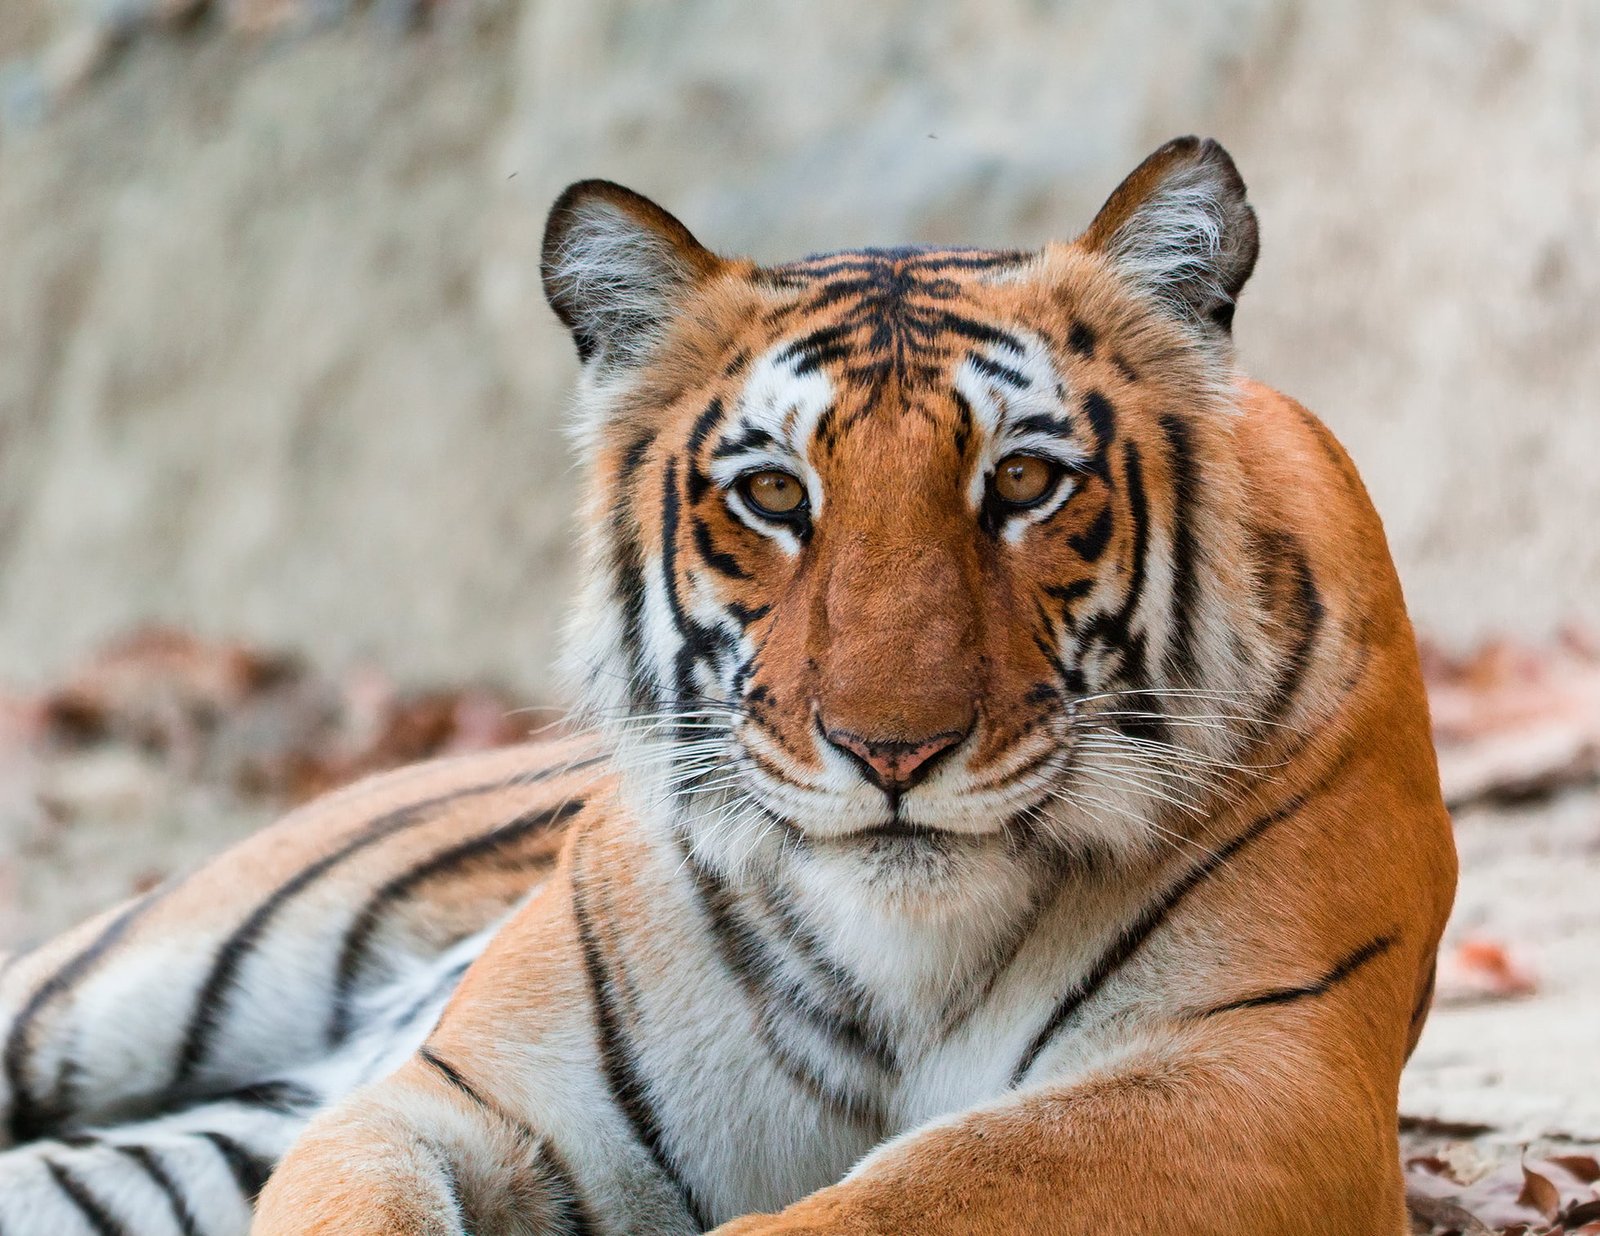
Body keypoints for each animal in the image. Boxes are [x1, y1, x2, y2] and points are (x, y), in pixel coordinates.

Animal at [0, 136, 1456, 1235]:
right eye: (773, 496)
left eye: (1025, 482)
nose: (892, 750)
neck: (902, 966)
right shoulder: (457, 1100)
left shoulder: (1254, 1072)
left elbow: (913, 1195)